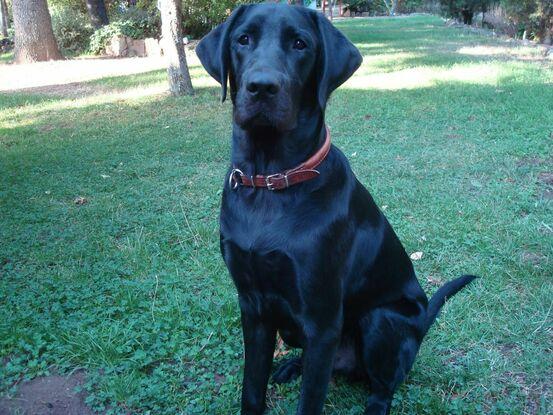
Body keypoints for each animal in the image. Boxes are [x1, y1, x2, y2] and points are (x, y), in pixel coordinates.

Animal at [195, 4, 474, 415]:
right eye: (242, 39)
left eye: (300, 44)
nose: (262, 86)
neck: (271, 180)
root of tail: (423, 324)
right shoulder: (252, 307)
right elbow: (252, 389)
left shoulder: (322, 319)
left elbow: (311, 400)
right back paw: (290, 365)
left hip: (381, 320)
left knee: (383, 386)